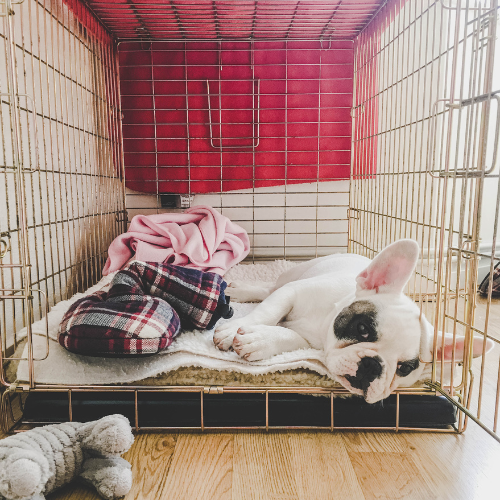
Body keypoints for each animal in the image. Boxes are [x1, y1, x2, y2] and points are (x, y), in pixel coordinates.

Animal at [214, 238, 492, 402]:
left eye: (404, 369)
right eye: (363, 328)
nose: (372, 366)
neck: (323, 324)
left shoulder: (309, 342)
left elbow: (289, 337)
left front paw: (259, 341)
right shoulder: (291, 293)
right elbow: (267, 311)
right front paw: (231, 331)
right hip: (292, 276)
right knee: (268, 290)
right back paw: (241, 291)